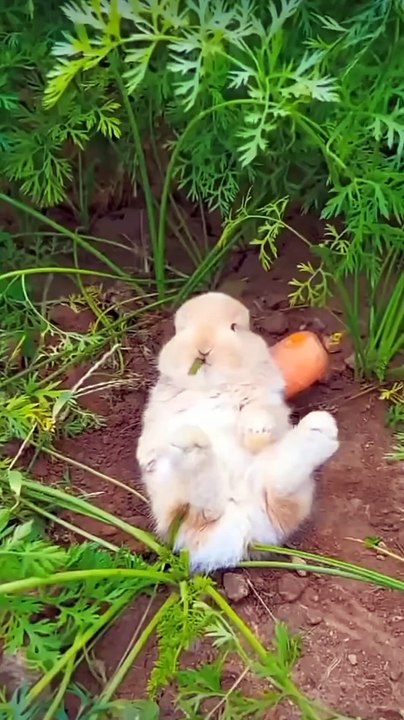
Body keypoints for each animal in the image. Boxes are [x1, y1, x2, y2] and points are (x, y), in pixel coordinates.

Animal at [136, 291, 339, 573]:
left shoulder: (266, 399)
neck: (212, 385)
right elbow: (150, 438)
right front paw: (146, 459)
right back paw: (193, 446)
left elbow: (260, 413)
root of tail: (242, 529)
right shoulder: (159, 411)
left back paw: (320, 430)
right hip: (173, 503)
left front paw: (256, 433)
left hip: (287, 491)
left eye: (234, 327)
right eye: (181, 330)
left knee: (277, 488)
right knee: (206, 507)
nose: (203, 348)